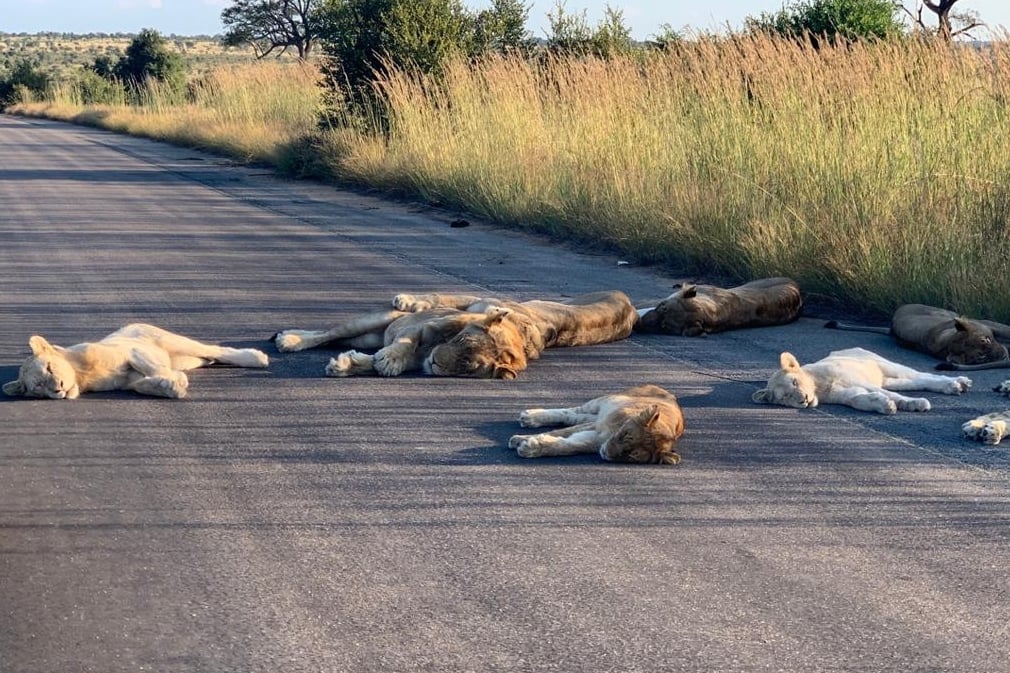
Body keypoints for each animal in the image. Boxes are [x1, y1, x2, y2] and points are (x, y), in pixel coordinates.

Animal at [3, 323, 269, 400]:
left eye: (49, 368)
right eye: (39, 387)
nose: (58, 388)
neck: (82, 377)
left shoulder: (130, 350)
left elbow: (149, 365)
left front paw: (174, 381)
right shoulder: (127, 381)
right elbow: (142, 385)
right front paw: (169, 386)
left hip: (173, 341)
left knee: (216, 349)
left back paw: (256, 357)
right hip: (188, 359)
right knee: (207, 357)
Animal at [508, 384, 685, 464]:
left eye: (631, 456)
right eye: (625, 436)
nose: (607, 453)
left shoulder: (595, 438)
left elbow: (568, 446)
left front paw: (530, 446)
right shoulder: (599, 427)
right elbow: (559, 433)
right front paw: (519, 440)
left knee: (574, 416)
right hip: (602, 402)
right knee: (570, 412)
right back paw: (530, 417)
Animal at [752, 347, 972, 414]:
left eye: (795, 383)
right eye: (786, 397)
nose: (803, 399)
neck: (819, 387)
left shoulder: (855, 380)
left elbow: (891, 395)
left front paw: (915, 404)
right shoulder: (846, 394)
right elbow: (859, 399)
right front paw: (885, 406)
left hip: (886, 365)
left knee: (924, 376)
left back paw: (958, 383)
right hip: (890, 379)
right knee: (917, 382)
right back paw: (956, 386)